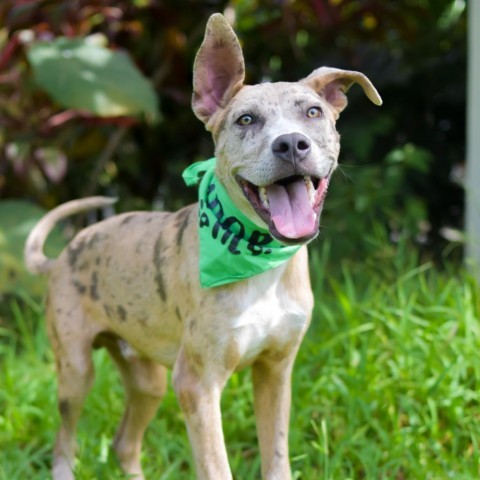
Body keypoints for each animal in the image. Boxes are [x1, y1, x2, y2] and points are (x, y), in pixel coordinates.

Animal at [24, 11, 380, 480]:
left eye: (313, 112)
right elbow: (216, 466)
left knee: (124, 443)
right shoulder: (197, 385)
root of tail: (62, 257)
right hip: (77, 371)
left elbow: (277, 457)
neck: (260, 264)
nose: (290, 144)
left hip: (148, 379)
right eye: (245, 120)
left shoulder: (276, 371)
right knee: (64, 444)